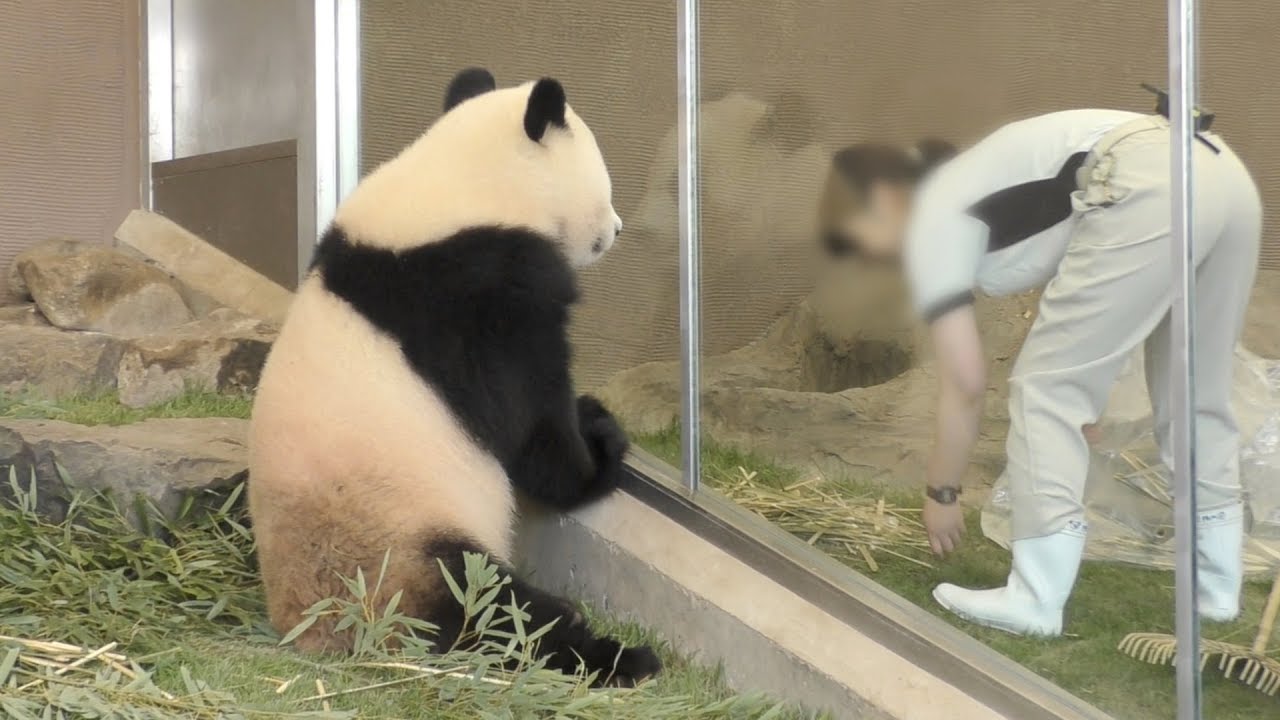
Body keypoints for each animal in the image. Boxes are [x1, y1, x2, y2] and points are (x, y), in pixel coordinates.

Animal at [246, 66, 661, 687]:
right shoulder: (481, 297)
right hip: (408, 545)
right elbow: (530, 422)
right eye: (604, 182)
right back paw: (618, 657)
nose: (616, 228)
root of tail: (321, 627)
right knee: (497, 613)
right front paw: (599, 448)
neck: (464, 186)